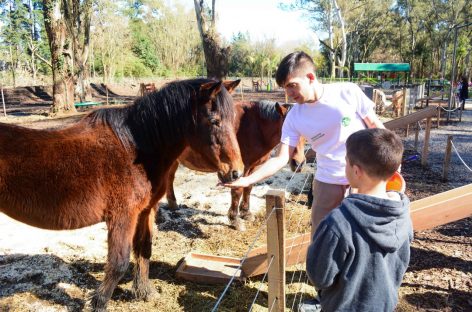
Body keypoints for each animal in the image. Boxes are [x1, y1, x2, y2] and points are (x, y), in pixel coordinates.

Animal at [0, 78, 243, 310]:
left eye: (233, 121)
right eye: (214, 121)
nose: (236, 172)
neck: (134, 147)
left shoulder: (145, 211)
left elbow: (144, 249)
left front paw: (143, 292)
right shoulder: (122, 216)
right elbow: (119, 263)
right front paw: (98, 303)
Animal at [166, 101, 306, 230]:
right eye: (286, 129)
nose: (299, 163)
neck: (254, 128)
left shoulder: (254, 167)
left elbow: (248, 187)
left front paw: (246, 213)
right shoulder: (238, 169)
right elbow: (237, 191)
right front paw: (234, 219)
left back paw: (173, 204)